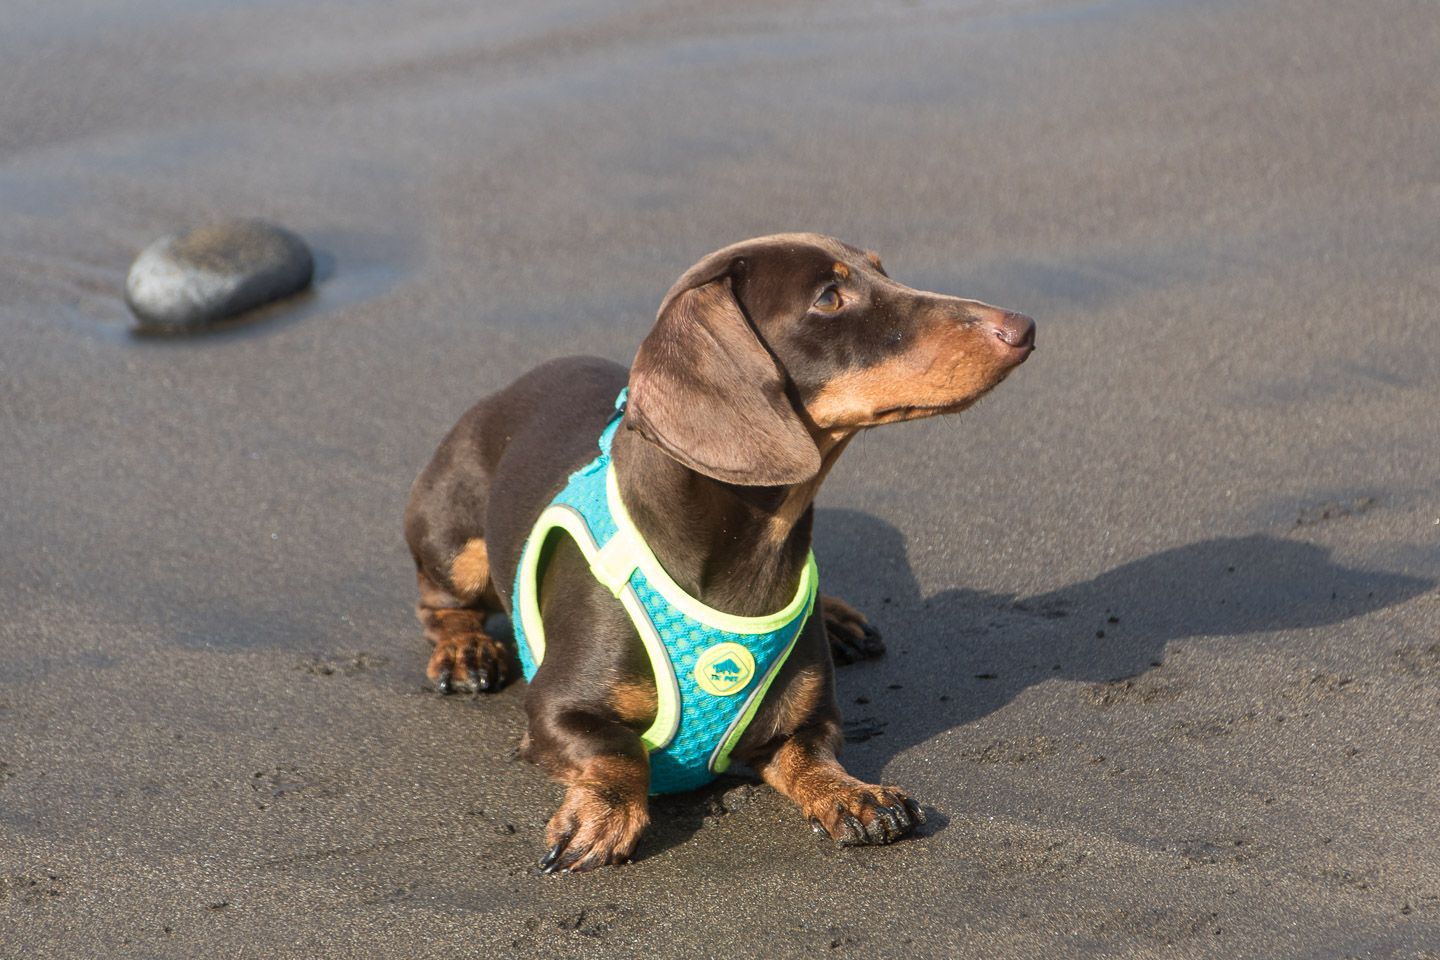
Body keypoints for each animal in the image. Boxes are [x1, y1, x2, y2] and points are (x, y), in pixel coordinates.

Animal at [406, 233, 1036, 869]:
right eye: (829, 298)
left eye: (883, 271)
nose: (1024, 327)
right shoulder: (555, 708)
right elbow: (617, 751)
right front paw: (602, 815)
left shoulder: (809, 719)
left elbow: (811, 753)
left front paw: (851, 795)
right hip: (454, 544)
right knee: (437, 604)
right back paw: (465, 651)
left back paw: (836, 618)